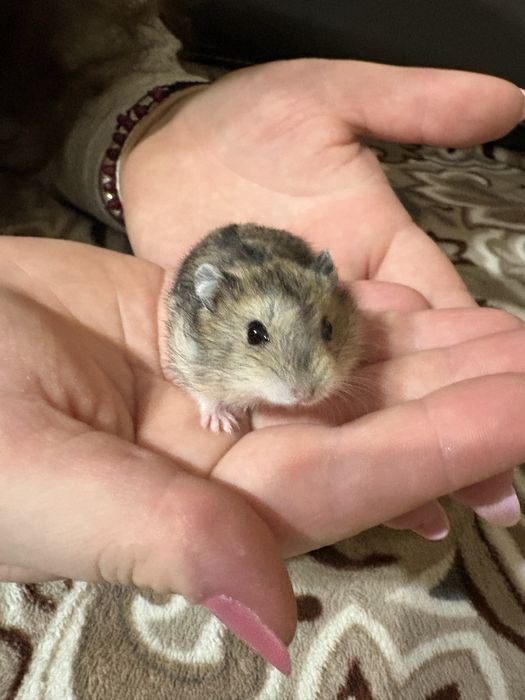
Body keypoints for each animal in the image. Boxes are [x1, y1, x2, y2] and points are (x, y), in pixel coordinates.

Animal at [165, 223, 362, 432]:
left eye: (329, 328)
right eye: (254, 334)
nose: (305, 395)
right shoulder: (189, 359)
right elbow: (207, 397)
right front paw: (224, 425)